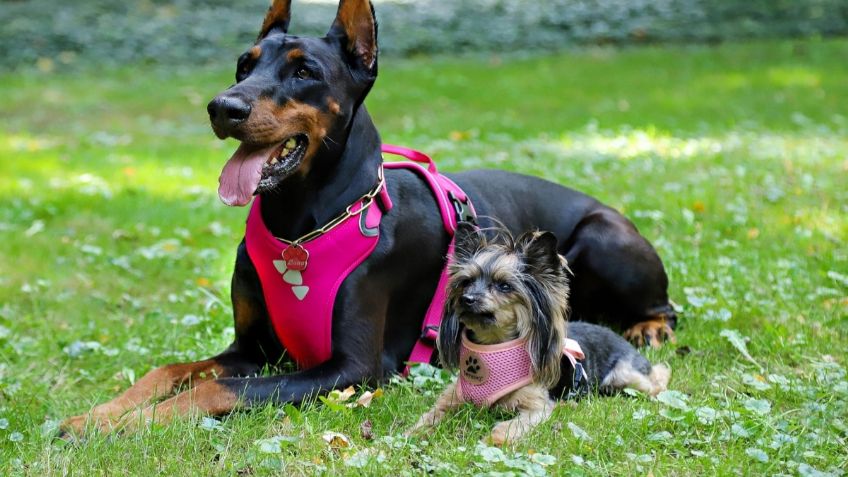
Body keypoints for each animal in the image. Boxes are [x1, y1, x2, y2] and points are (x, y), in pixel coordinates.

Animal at [410, 223, 668, 442]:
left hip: (625, 375)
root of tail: (616, 335)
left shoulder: (537, 407)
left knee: (659, 377)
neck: (491, 347)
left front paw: (491, 442)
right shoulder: (454, 396)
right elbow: (432, 414)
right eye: (466, 282)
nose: (467, 299)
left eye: (504, 286)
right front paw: (414, 432)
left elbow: (508, 427)